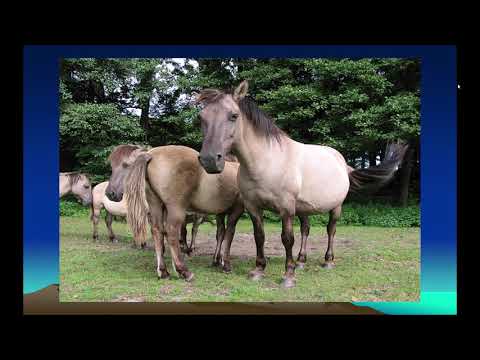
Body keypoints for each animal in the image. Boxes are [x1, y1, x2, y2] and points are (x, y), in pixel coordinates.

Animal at [197, 80, 406, 288]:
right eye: (201, 117)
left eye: (233, 116)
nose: (209, 160)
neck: (266, 161)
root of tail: (341, 161)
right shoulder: (253, 207)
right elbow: (260, 236)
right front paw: (258, 270)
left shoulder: (286, 208)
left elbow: (287, 238)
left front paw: (288, 276)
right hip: (305, 209)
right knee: (306, 229)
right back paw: (301, 261)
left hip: (336, 207)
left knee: (331, 230)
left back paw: (327, 261)